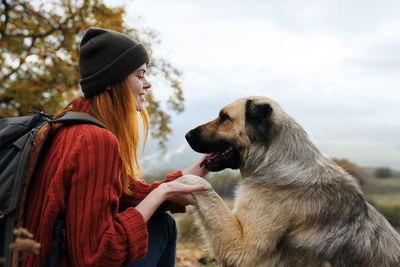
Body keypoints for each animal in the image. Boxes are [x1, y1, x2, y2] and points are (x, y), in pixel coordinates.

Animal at [177, 97, 400, 267]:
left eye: (225, 118)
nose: (186, 135)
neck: (271, 159)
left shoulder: (242, 247)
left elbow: (204, 186)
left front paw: (181, 179)